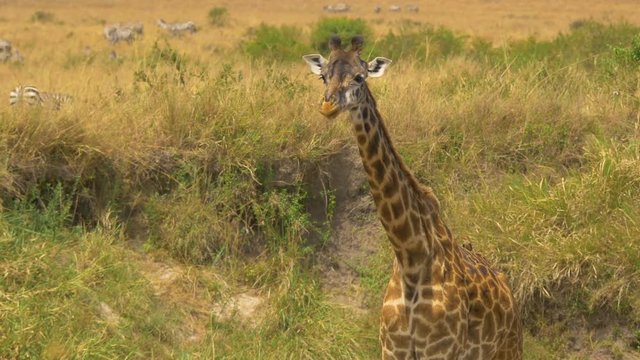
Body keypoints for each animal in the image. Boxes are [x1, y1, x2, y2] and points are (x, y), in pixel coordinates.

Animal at [302, 35, 524, 358]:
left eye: (359, 77)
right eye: (323, 76)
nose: (328, 105)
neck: (410, 258)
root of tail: (508, 289)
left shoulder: (440, 352)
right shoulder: (392, 350)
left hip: (509, 349)